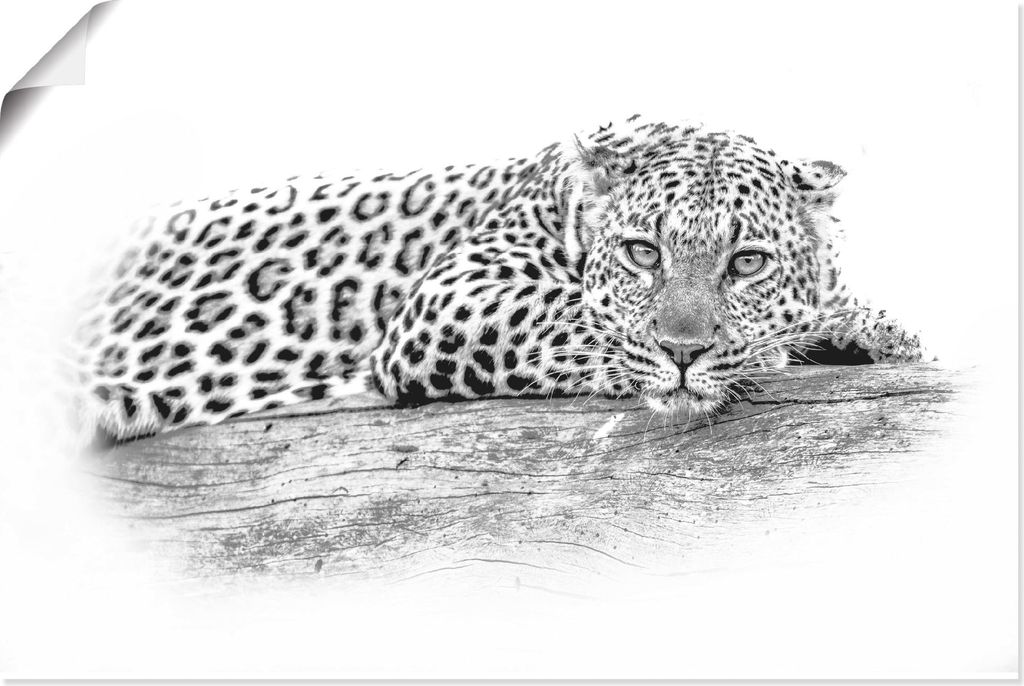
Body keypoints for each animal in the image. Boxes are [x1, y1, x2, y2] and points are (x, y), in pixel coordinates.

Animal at [69, 115, 922, 443]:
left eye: (747, 263)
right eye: (643, 253)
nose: (685, 353)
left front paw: (875, 331)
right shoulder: (450, 301)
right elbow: (584, 321)